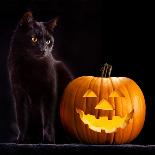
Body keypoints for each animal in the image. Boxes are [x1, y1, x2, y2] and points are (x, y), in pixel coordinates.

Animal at [7, 11, 72, 143]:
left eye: (48, 41)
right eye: (34, 39)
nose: (43, 50)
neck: (31, 66)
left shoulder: (49, 92)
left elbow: (48, 118)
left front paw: (48, 139)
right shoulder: (19, 94)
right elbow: (21, 118)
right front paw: (21, 139)